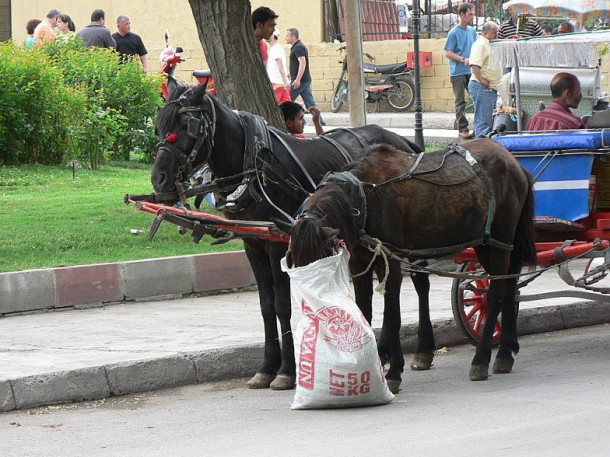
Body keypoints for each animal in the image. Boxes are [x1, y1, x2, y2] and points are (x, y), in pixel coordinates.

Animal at [150, 81, 420, 388]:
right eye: (159, 125)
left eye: (188, 126)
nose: (158, 179)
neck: (254, 165)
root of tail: (403, 142)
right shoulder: (253, 243)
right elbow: (266, 306)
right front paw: (267, 366)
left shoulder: (278, 243)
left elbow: (282, 306)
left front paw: (286, 370)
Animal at [282, 140, 536, 388]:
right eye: (297, 264)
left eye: (321, 261)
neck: (364, 198)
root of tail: (513, 162)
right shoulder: (359, 264)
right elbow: (364, 313)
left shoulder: (390, 261)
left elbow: (392, 317)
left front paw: (394, 371)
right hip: (486, 242)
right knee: (509, 286)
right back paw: (506, 351)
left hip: (501, 239)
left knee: (496, 293)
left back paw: (482, 359)